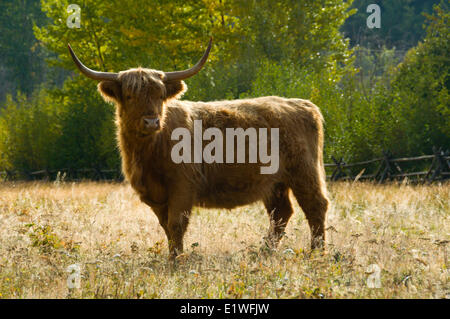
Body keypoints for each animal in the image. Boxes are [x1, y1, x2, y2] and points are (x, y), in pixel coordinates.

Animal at [69, 39, 330, 260]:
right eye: (130, 96)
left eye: (160, 95)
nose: (151, 122)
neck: (149, 150)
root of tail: (303, 104)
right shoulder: (155, 195)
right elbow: (166, 226)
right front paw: (173, 256)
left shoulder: (183, 186)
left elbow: (176, 224)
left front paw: (177, 261)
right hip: (274, 183)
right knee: (281, 213)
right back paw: (263, 251)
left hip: (304, 172)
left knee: (315, 206)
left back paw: (316, 253)